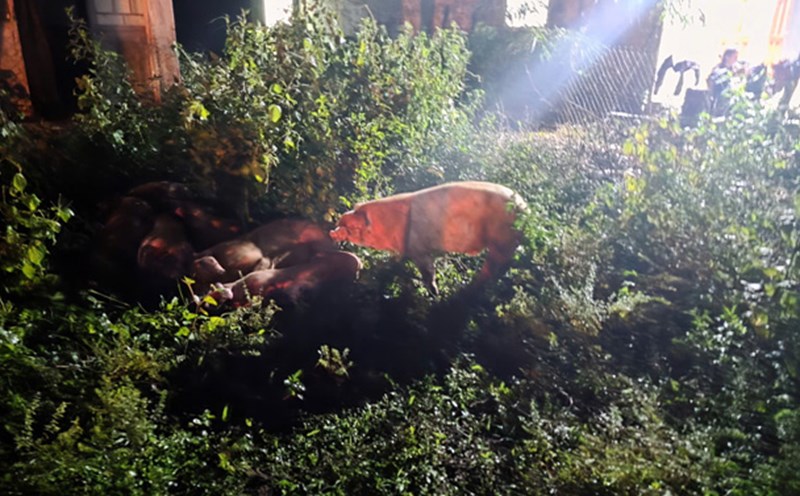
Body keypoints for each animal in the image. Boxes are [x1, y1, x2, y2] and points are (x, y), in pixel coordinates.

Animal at [329, 181, 527, 294]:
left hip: (502, 240)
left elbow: (427, 270)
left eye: (353, 227)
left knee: (492, 268)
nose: (332, 231)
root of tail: (525, 207)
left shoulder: (418, 248)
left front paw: (434, 293)